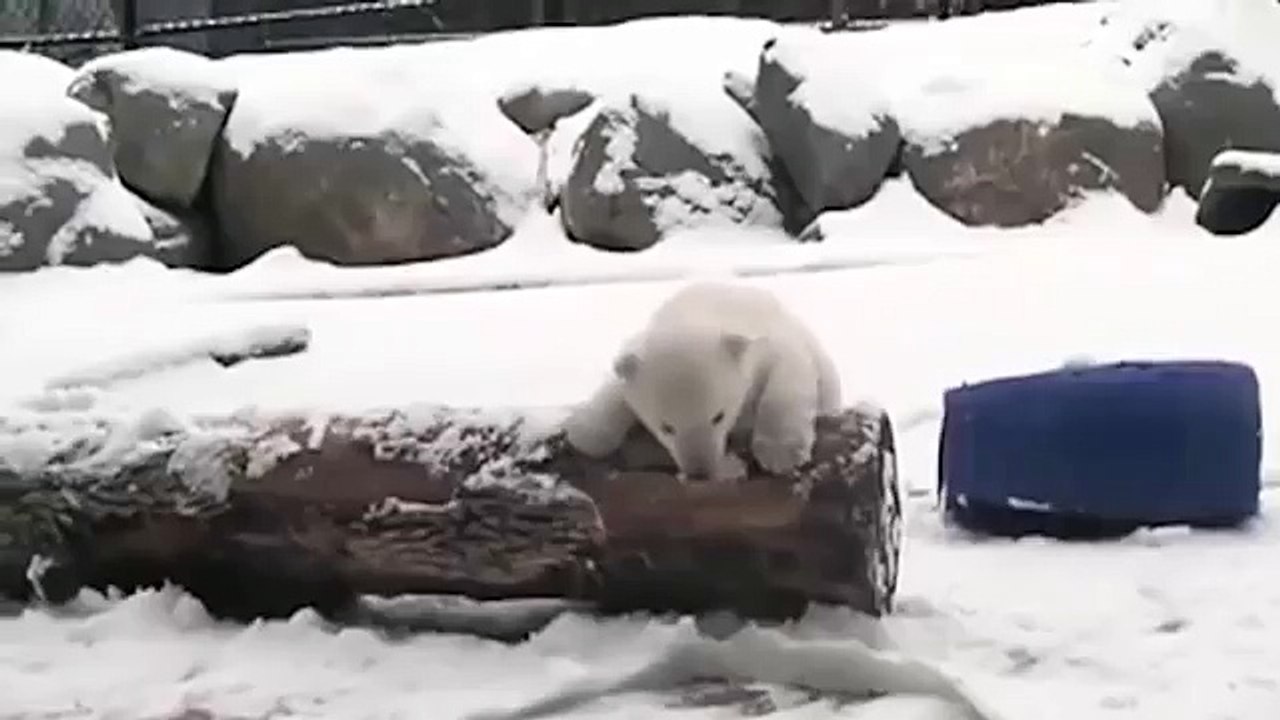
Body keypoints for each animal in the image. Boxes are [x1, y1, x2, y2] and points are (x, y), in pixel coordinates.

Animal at [563, 280, 841, 481]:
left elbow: (789, 370)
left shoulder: (771, 338)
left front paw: (781, 452)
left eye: (718, 416)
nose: (700, 471)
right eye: (667, 427)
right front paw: (586, 432)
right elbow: (616, 387)